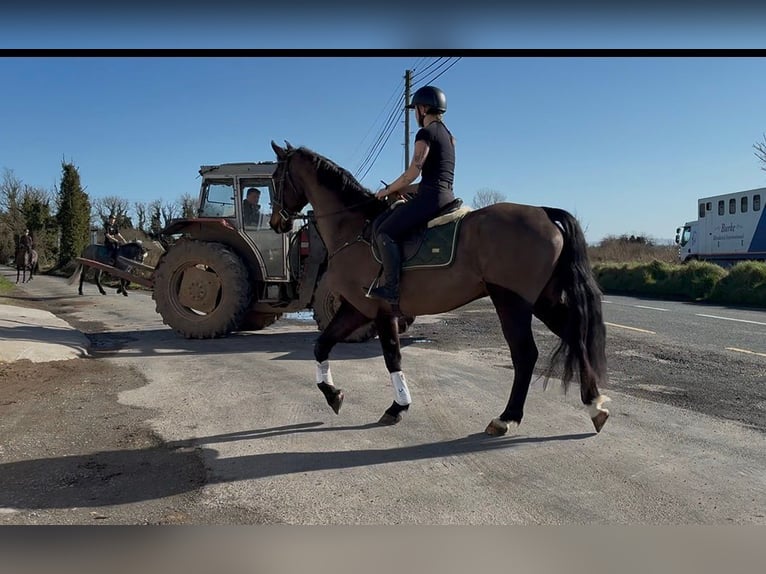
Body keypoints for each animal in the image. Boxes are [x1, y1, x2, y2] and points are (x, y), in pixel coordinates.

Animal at [268, 141, 611, 436]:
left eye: (274, 178)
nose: (276, 223)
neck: (353, 228)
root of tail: (543, 212)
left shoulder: (378, 311)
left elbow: (392, 357)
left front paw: (398, 407)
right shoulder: (356, 308)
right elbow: (321, 345)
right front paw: (333, 394)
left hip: (512, 301)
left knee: (526, 354)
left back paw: (506, 418)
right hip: (543, 300)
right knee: (575, 337)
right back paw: (594, 405)